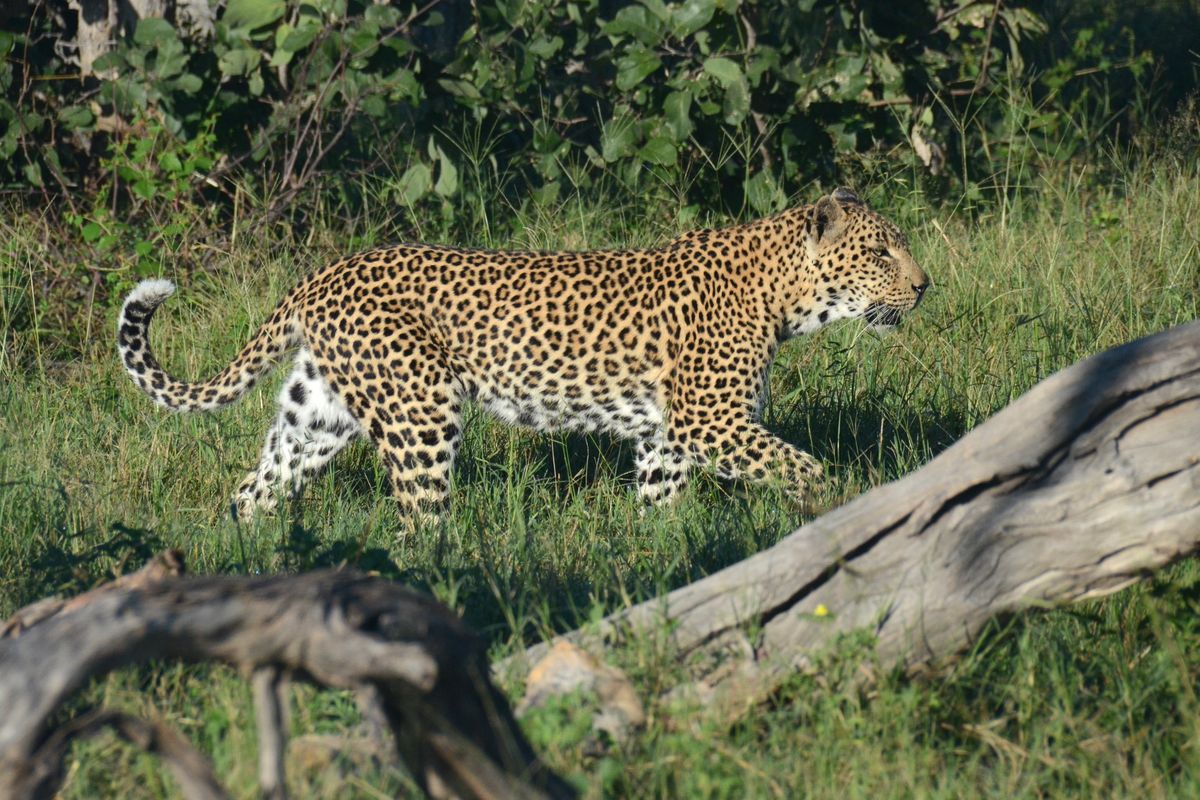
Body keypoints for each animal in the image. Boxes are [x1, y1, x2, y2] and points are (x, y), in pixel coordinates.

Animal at [114, 190, 926, 522]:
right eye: (880, 252)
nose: (924, 286)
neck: (783, 298)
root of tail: (326, 271)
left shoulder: (668, 436)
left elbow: (660, 504)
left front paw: (657, 553)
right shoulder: (711, 422)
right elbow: (805, 467)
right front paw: (845, 509)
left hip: (317, 414)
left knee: (252, 493)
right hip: (422, 410)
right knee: (419, 519)